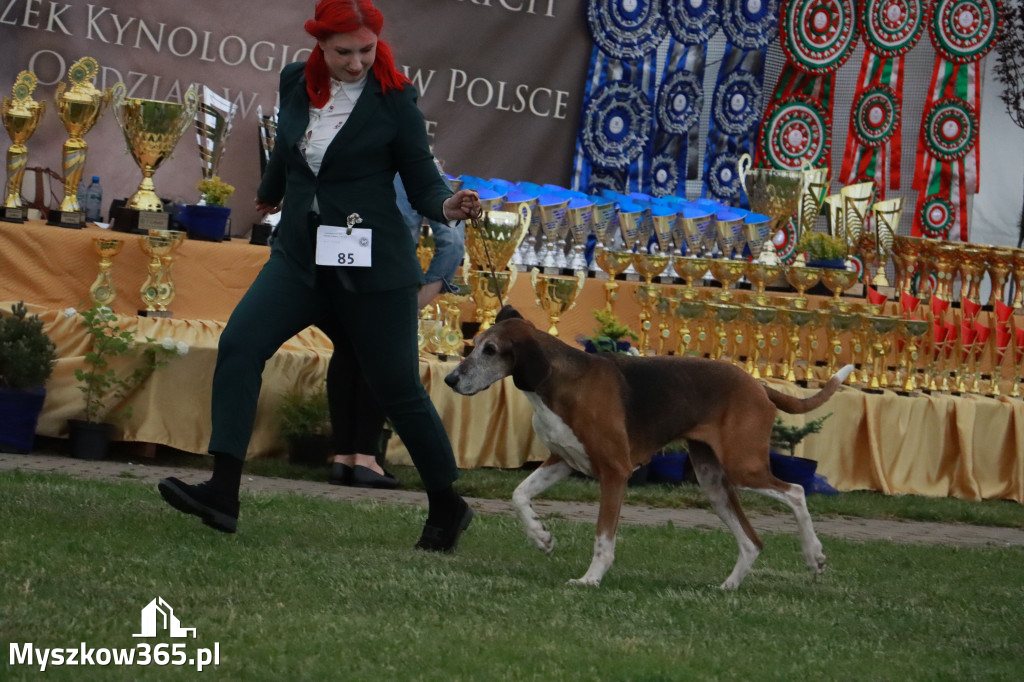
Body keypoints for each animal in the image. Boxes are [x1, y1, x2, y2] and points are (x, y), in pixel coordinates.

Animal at [448, 305, 856, 585]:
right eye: (475, 344)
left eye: (490, 350)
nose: (451, 379)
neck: (559, 383)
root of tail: (757, 383)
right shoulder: (562, 460)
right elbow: (518, 495)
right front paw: (540, 536)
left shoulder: (614, 472)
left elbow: (603, 538)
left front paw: (590, 579)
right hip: (714, 483)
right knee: (753, 541)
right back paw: (729, 586)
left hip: (743, 466)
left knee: (796, 491)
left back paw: (813, 556)